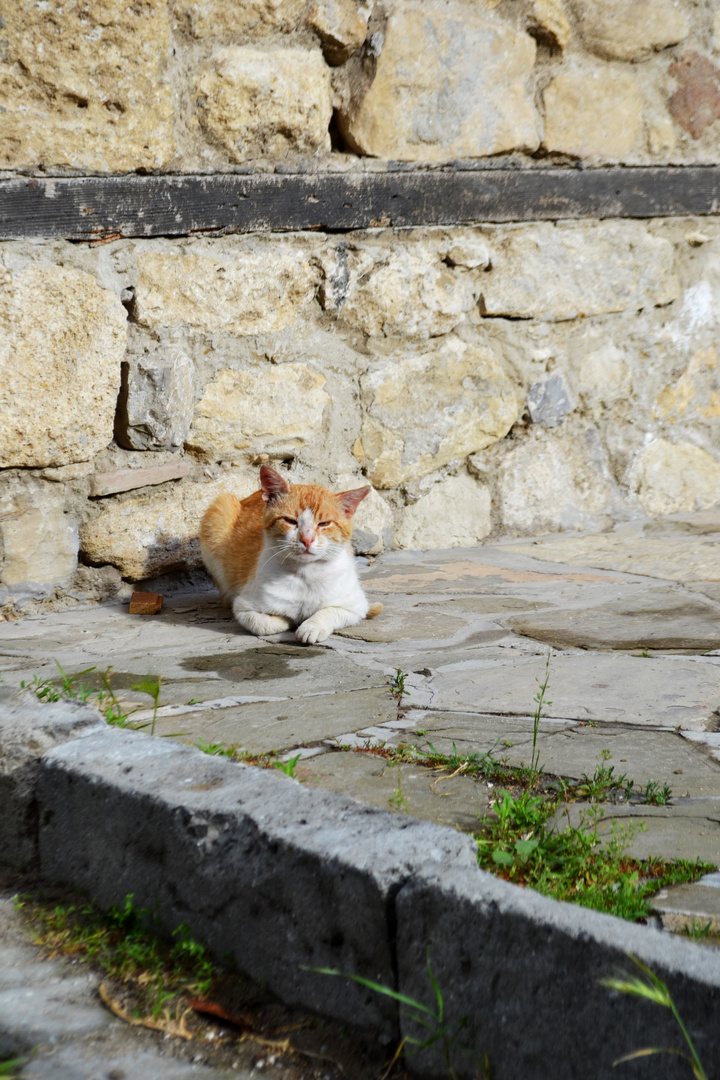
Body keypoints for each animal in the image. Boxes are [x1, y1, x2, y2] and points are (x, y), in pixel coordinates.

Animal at [198, 462, 382, 639]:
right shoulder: (243, 607)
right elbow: (265, 624)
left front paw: (311, 627)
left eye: (324, 524)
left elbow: (329, 611)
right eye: (290, 521)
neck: (305, 574)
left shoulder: (355, 607)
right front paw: (288, 620)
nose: (307, 539)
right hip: (221, 508)